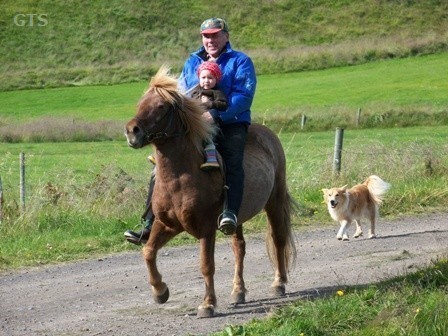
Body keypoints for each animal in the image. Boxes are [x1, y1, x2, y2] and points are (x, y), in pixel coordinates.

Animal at [124, 65, 296, 318]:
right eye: (141, 102)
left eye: (161, 106)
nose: (131, 131)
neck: (180, 177)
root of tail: (268, 134)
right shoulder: (167, 225)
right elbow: (148, 252)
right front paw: (160, 291)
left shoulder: (205, 228)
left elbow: (206, 265)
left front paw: (207, 304)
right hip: (236, 218)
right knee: (239, 248)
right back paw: (238, 291)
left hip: (274, 202)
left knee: (278, 239)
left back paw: (278, 283)